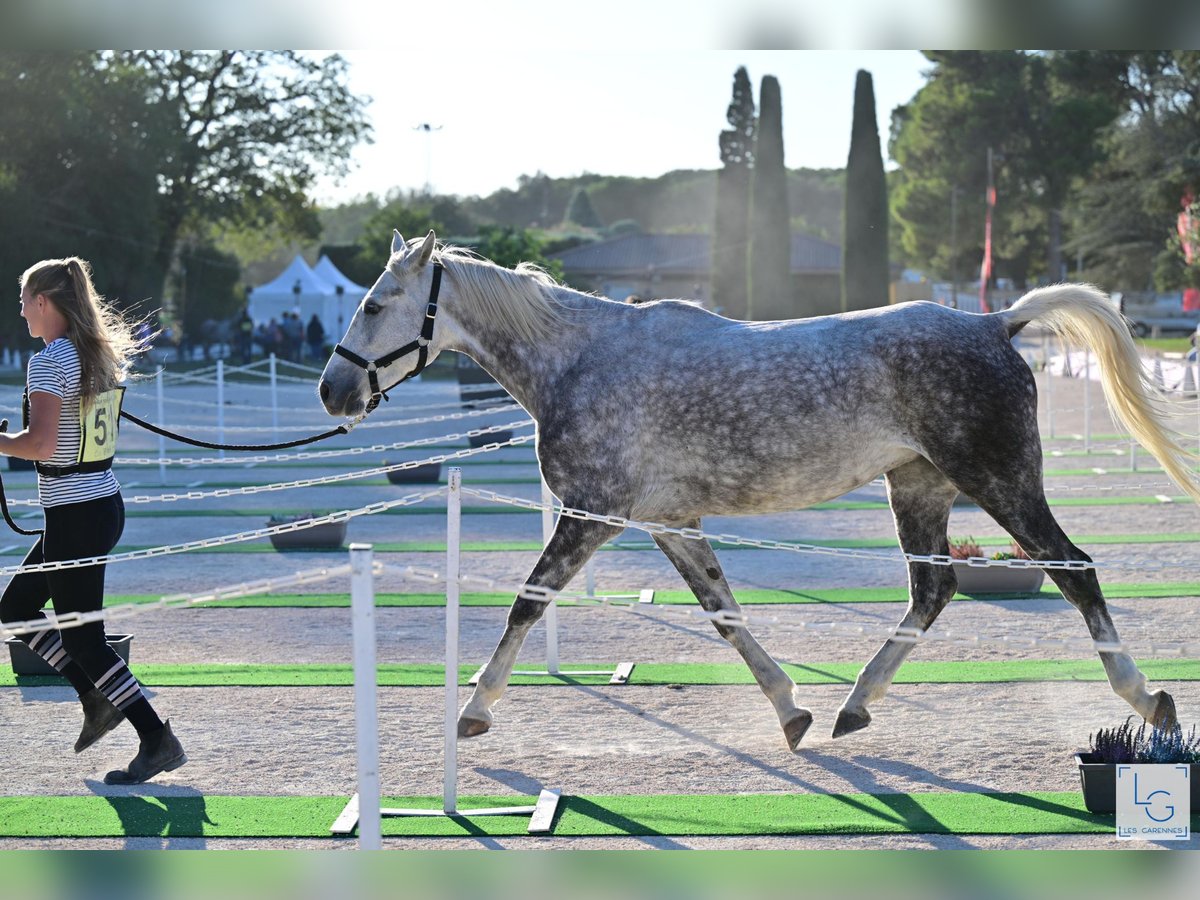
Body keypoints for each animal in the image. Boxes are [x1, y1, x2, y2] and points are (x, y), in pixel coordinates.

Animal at [321, 229, 1200, 748]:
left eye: (374, 302)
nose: (334, 391)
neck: (580, 359)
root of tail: (995, 321)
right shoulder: (671, 522)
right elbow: (725, 614)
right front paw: (791, 710)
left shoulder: (591, 515)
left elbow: (526, 603)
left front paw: (473, 710)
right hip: (919, 486)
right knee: (934, 590)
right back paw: (852, 706)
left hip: (1000, 479)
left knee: (1073, 569)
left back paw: (1146, 699)